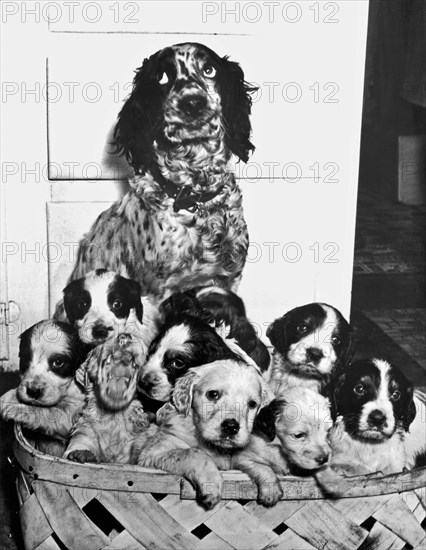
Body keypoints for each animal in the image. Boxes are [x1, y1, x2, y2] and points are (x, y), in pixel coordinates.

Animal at [0, 322, 87, 450]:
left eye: (58, 362)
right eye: (26, 358)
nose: (33, 391)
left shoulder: (72, 419)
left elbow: (47, 411)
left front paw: (10, 406)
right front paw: (9, 397)